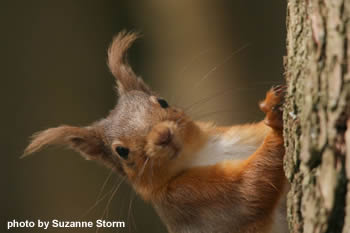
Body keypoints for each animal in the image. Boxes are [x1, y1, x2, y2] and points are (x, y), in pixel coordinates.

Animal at [23, 31, 288, 233]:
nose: (163, 136)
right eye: (121, 151)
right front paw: (276, 123)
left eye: (162, 101)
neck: (198, 154)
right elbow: (251, 190)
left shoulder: (238, 135)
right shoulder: (191, 199)